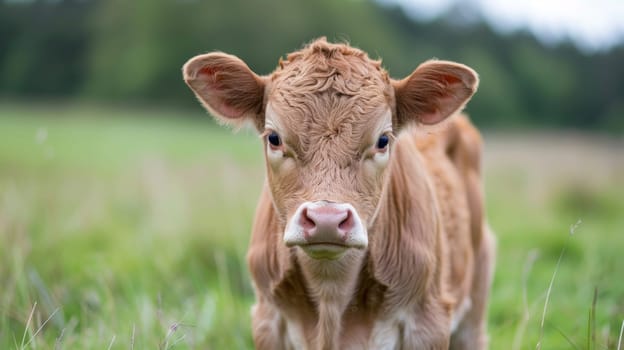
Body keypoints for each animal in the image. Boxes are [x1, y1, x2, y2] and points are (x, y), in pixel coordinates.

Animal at [183, 39, 494, 350]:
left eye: (383, 140)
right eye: (274, 138)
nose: (326, 220)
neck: (330, 295)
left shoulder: (428, 323)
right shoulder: (267, 320)